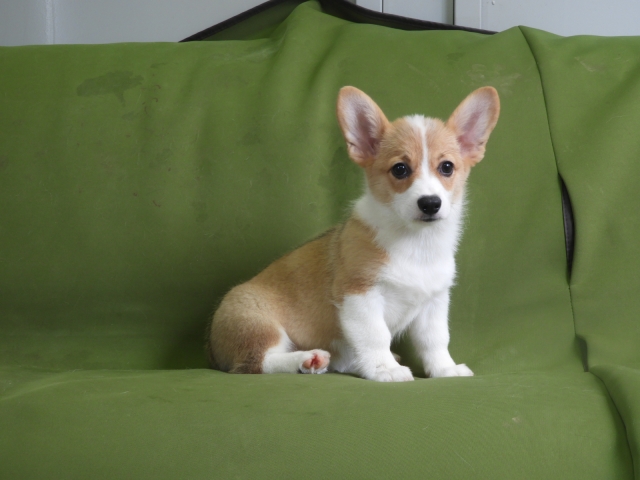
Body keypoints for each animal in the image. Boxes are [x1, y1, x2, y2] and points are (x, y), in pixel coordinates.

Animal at [208, 86, 499, 381]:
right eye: (400, 169)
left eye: (447, 167)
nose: (430, 203)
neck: (416, 243)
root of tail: (212, 349)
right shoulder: (360, 295)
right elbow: (376, 336)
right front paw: (386, 369)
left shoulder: (434, 302)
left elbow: (435, 340)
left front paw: (444, 369)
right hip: (257, 325)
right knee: (257, 363)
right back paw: (306, 359)